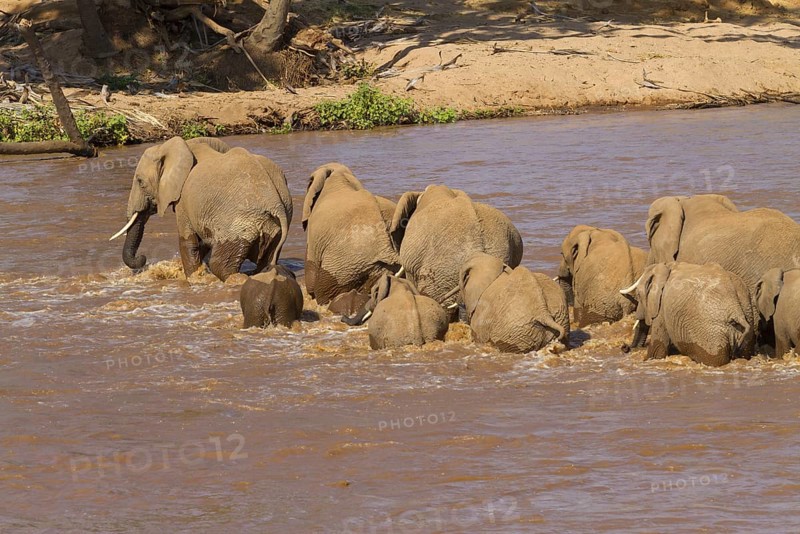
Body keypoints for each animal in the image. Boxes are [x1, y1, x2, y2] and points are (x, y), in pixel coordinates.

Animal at [111, 136, 292, 281]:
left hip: (240, 222)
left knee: (220, 265)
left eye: (140, 182)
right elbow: (201, 242)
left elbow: (188, 241)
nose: (143, 258)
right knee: (266, 261)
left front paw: (192, 279)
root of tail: (275, 202)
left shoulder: (183, 199)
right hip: (272, 225)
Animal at [621, 261, 756, 367]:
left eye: (638, 295)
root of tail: (736, 309)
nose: (624, 347)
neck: (666, 265)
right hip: (746, 319)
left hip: (711, 334)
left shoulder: (662, 308)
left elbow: (657, 350)